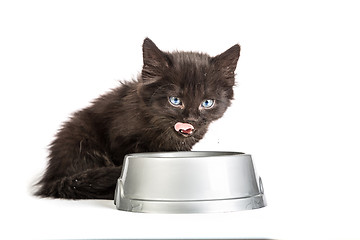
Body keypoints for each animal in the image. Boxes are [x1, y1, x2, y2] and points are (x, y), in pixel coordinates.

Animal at [35, 38, 240, 199]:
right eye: (175, 100)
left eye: (207, 103)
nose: (191, 118)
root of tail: (52, 178)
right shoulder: (120, 141)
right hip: (82, 138)